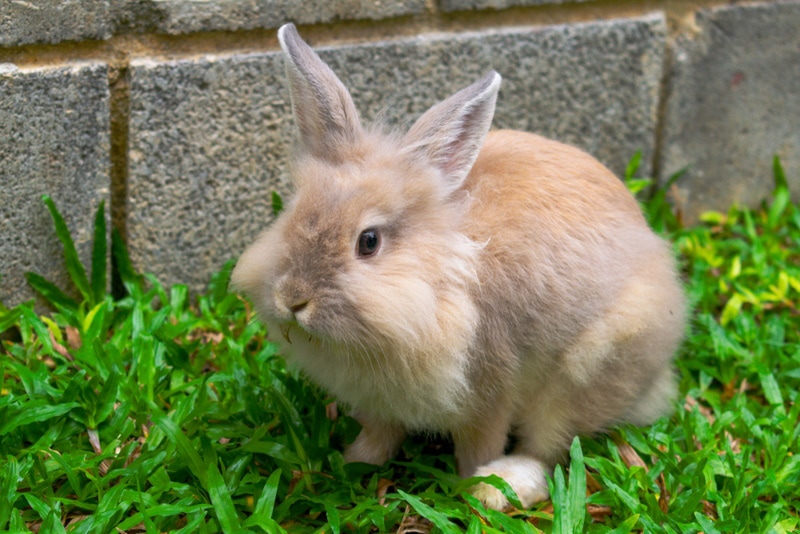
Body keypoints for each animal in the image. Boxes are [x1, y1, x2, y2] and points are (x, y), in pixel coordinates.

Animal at [231, 23, 688, 512]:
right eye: (293, 212)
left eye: (368, 242)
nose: (292, 299)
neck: (437, 281)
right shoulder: (381, 402)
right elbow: (380, 434)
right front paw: (355, 463)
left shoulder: (489, 391)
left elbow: (479, 444)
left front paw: (471, 490)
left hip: (589, 370)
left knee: (549, 446)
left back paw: (504, 485)